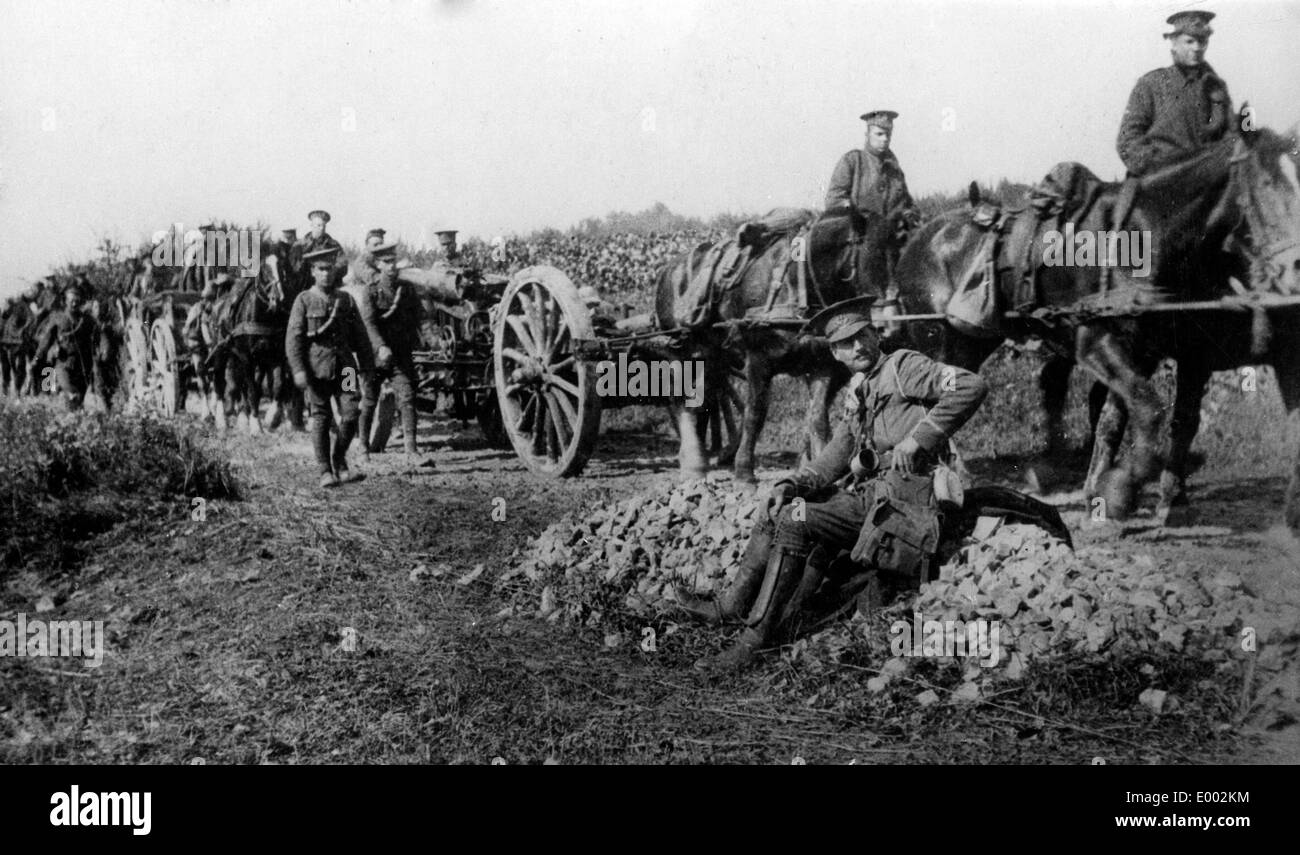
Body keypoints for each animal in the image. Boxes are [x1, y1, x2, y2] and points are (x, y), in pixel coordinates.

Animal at [650, 207, 894, 478]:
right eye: (873, 255)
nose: (887, 324)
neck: (797, 284)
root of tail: (669, 269)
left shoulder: (821, 365)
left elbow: (817, 418)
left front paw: (817, 466)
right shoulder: (759, 359)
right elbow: (755, 413)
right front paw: (744, 473)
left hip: (712, 357)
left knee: (704, 399)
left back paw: (700, 459)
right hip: (684, 353)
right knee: (683, 400)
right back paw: (692, 461)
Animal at [894, 124, 1300, 530]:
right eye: (1266, 183)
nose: (1294, 271)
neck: (1144, 236)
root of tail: (919, 239)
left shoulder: (1166, 352)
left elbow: (1130, 417)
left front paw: (1128, 493)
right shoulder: (1100, 343)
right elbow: (1147, 411)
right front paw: (1120, 489)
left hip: (973, 340)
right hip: (938, 338)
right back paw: (956, 475)